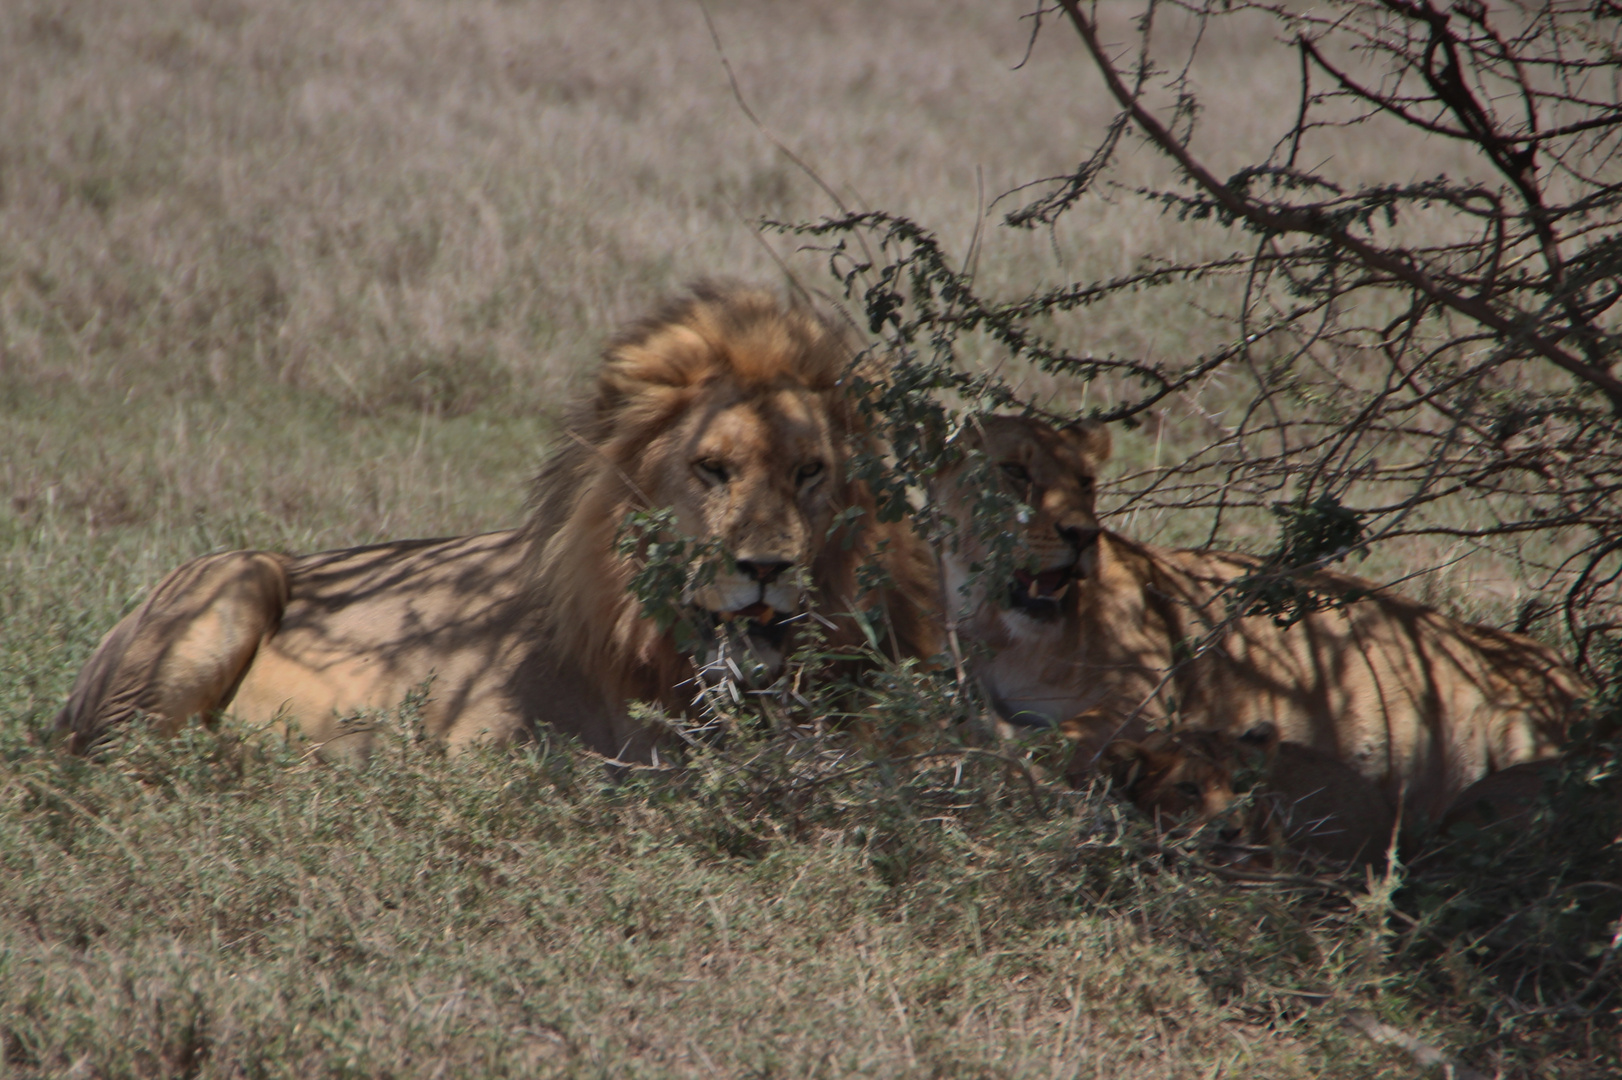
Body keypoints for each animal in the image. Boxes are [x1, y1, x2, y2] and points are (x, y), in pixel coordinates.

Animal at [940, 411, 1583, 817]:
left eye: (1084, 482)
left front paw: (987, 741)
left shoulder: (1145, 705)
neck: (1004, 633)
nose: (1082, 535)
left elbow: (1055, 741)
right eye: (1014, 472)